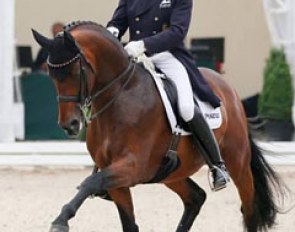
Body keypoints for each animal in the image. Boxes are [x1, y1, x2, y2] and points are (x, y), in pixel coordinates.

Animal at [32, 20, 286, 231]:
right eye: (51, 75)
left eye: (75, 72)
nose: (70, 124)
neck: (120, 96)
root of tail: (228, 89)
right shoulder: (116, 179)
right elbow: (127, 222)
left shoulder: (132, 167)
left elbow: (89, 182)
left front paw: (61, 220)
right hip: (170, 173)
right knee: (196, 198)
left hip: (237, 162)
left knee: (249, 209)